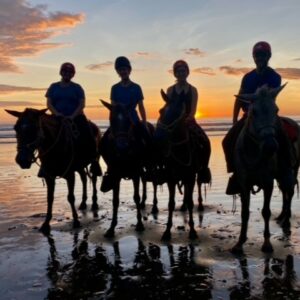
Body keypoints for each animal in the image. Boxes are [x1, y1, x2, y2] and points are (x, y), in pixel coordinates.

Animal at [100, 101, 158, 237]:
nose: (122, 146)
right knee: (144, 180)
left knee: (153, 181)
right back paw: (143, 203)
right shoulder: (115, 176)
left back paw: (154, 207)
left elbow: (135, 197)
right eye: (111, 119)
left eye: (128, 120)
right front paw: (111, 228)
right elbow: (115, 200)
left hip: (150, 164)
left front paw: (140, 224)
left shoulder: (135, 173)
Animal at [155, 88, 211, 239]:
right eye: (160, 111)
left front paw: (192, 231)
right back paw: (183, 205)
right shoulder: (171, 178)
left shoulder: (190, 177)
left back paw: (200, 205)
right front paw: (167, 231)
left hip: (197, 173)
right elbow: (171, 203)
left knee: (198, 185)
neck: (180, 150)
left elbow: (191, 203)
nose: (158, 137)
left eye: (177, 113)